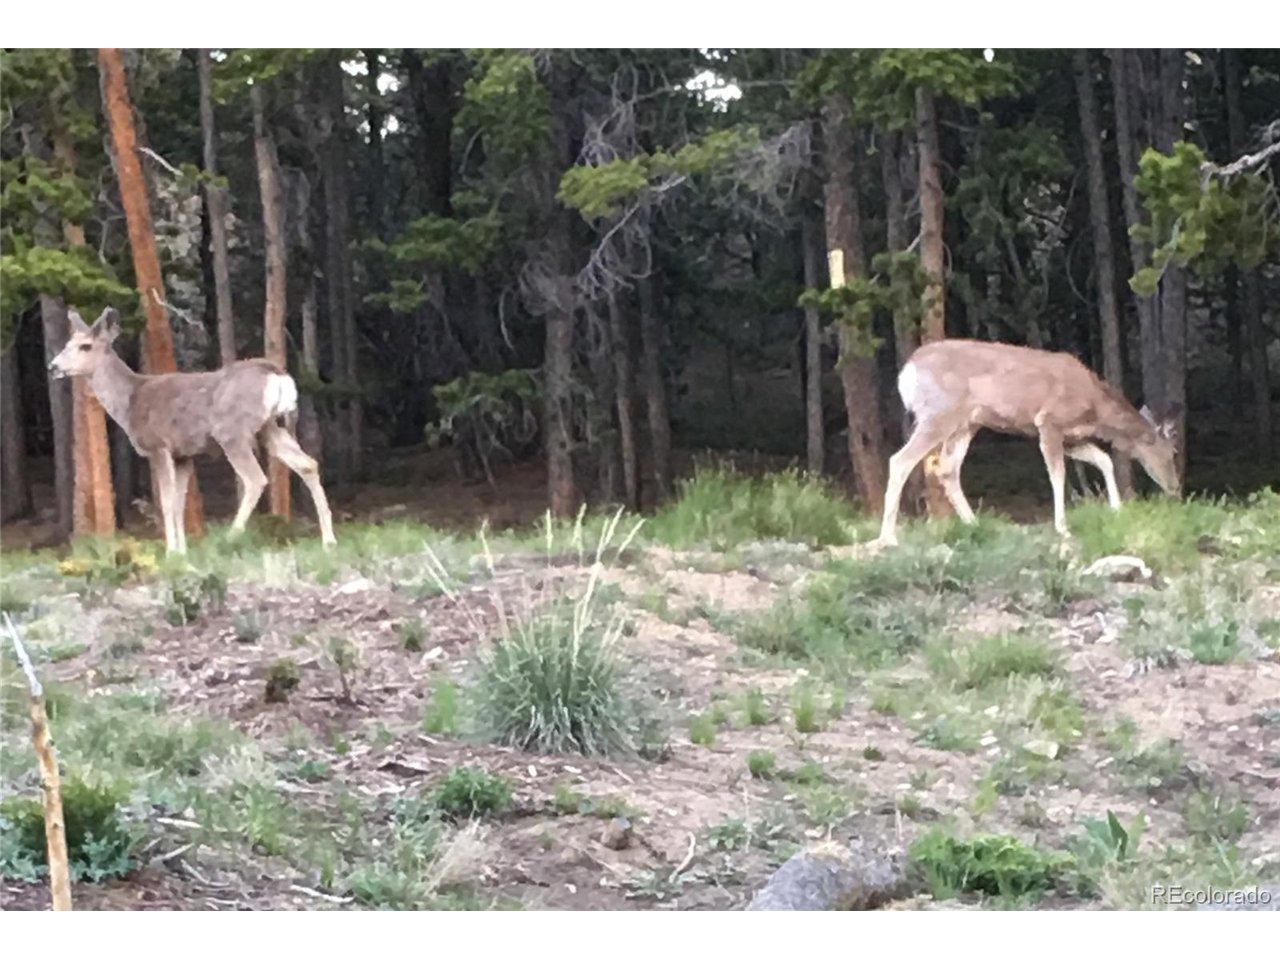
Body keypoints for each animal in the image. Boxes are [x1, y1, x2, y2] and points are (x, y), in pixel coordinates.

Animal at [48, 307, 336, 554]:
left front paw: (171, 553)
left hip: (232, 432)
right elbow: (179, 504)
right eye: (67, 344)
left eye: (85, 346)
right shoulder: (183, 455)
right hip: (269, 428)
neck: (129, 402)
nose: (53, 366)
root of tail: (276, 373)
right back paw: (328, 540)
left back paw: (230, 537)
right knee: (308, 464)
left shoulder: (158, 446)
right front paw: (182, 552)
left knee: (256, 479)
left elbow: (166, 502)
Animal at [874, 339, 1182, 547]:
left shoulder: (1071, 438)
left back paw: (975, 523)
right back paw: (888, 536)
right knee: (900, 459)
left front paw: (1116, 509)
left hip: (967, 423)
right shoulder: (1049, 422)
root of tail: (907, 372)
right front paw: (1062, 526)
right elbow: (1058, 474)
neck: (1095, 407)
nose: (1175, 488)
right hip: (939, 414)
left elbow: (1103, 459)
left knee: (947, 468)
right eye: (1171, 453)